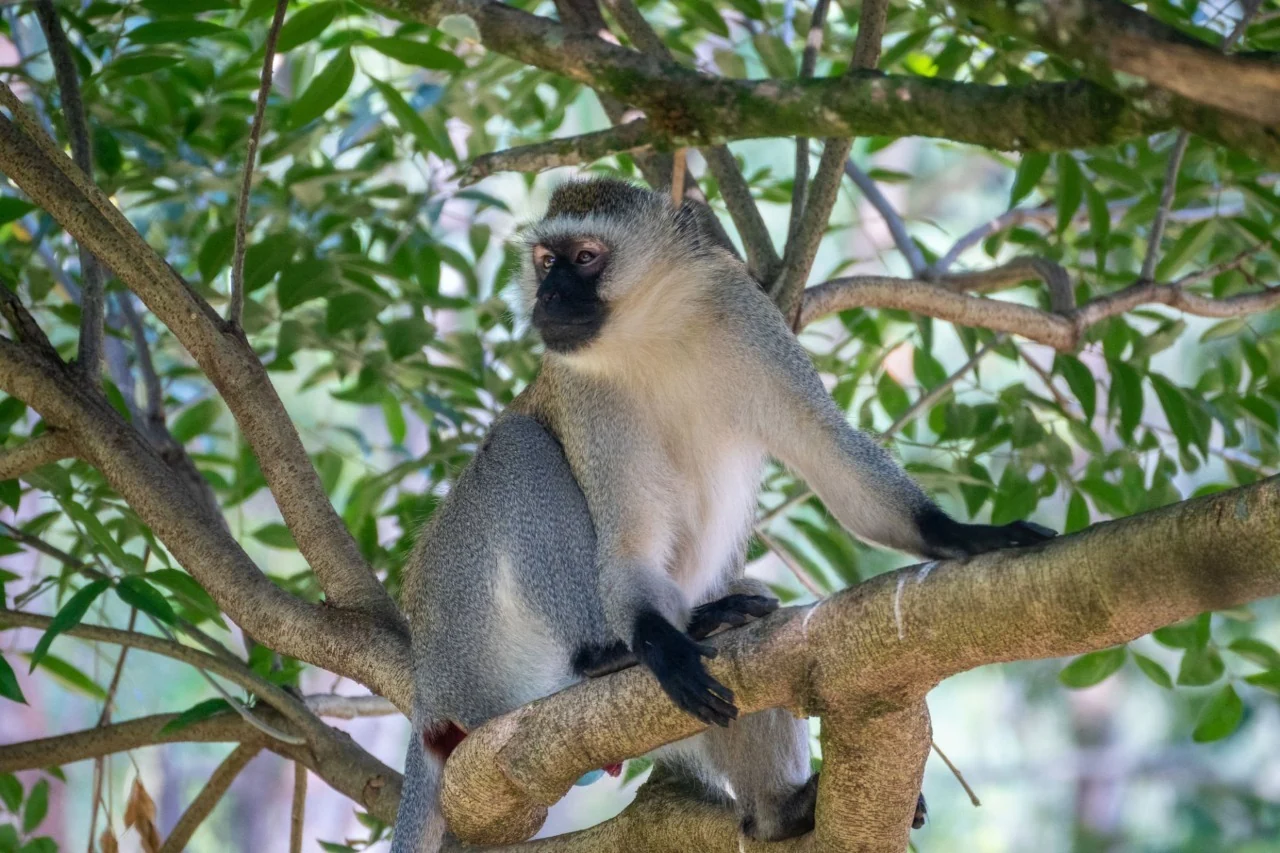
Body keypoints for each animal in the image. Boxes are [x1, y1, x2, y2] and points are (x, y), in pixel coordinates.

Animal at [391, 178, 1055, 852]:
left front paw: (964, 536)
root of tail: (429, 687)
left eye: (585, 257)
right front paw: (658, 644)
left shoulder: (748, 320)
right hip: (476, 641)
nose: (547, 295)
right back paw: (609, 656)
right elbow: (628, 544)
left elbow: (833, 458)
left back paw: (779, 810)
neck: (652, 334)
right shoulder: (583, 391)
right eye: (546, 261)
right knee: (516, 446)